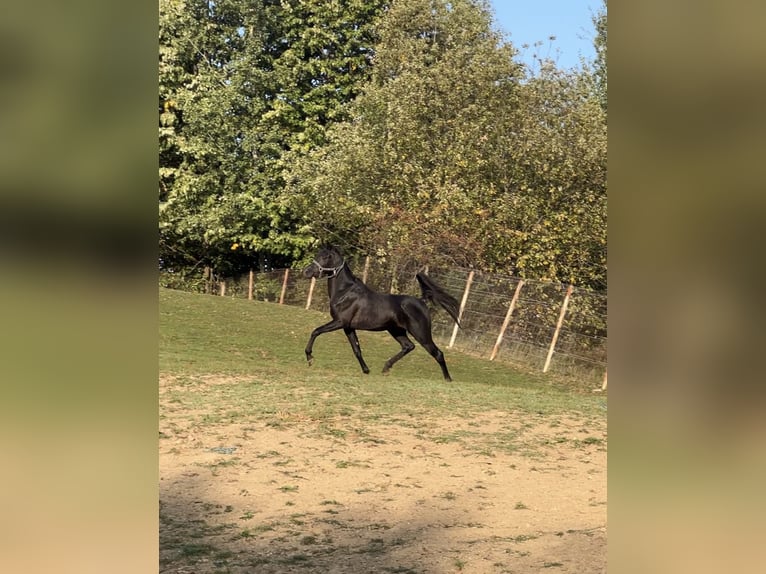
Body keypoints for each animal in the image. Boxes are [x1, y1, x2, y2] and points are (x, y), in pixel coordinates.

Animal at [304, 244, 462, 382]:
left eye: (325, 256)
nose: (306, 272)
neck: (344, 292)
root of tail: (422, 301)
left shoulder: (339, 322)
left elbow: (316, 331)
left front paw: (310, 358)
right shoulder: (348, 327)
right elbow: (356, 349)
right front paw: (366, 370)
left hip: (421, 334)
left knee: (437, 353)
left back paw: (448, 379)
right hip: (396, 331)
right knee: (408, 346)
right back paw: (386, 368)